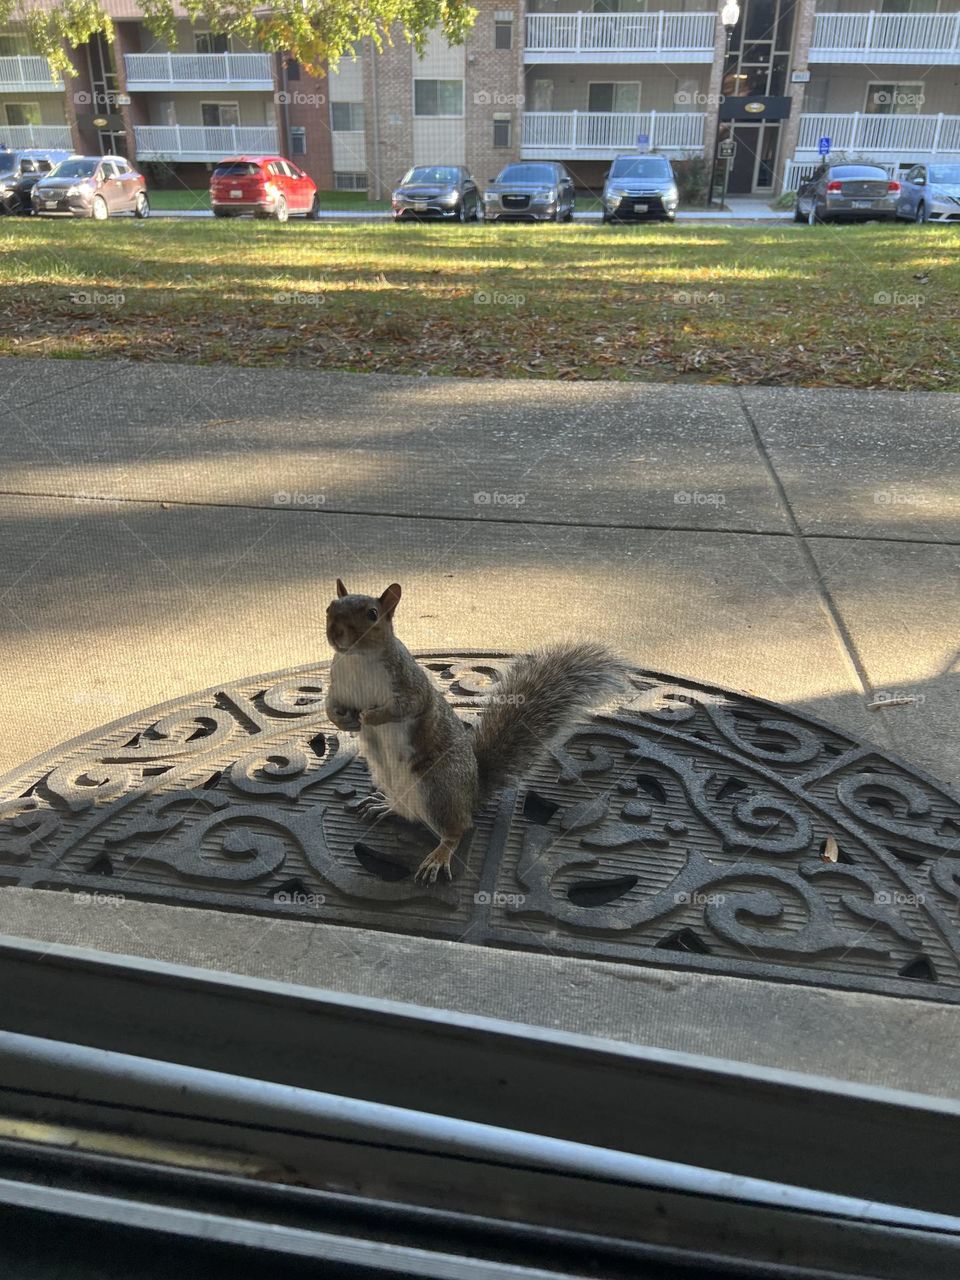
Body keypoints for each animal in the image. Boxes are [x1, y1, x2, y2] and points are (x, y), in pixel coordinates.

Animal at [324, 579, 628, 885]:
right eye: (329, 607)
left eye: (372, 614)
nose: (335, 632)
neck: (357, 660)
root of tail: (471, 795)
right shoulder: (338, 688)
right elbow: (330, 707)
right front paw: (344, 721)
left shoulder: (410, 686)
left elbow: (404, 707)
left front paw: (369, 716)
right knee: (409, 813)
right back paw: (386, 806)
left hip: (438, 789)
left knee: (457, 829)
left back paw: (439, 855)